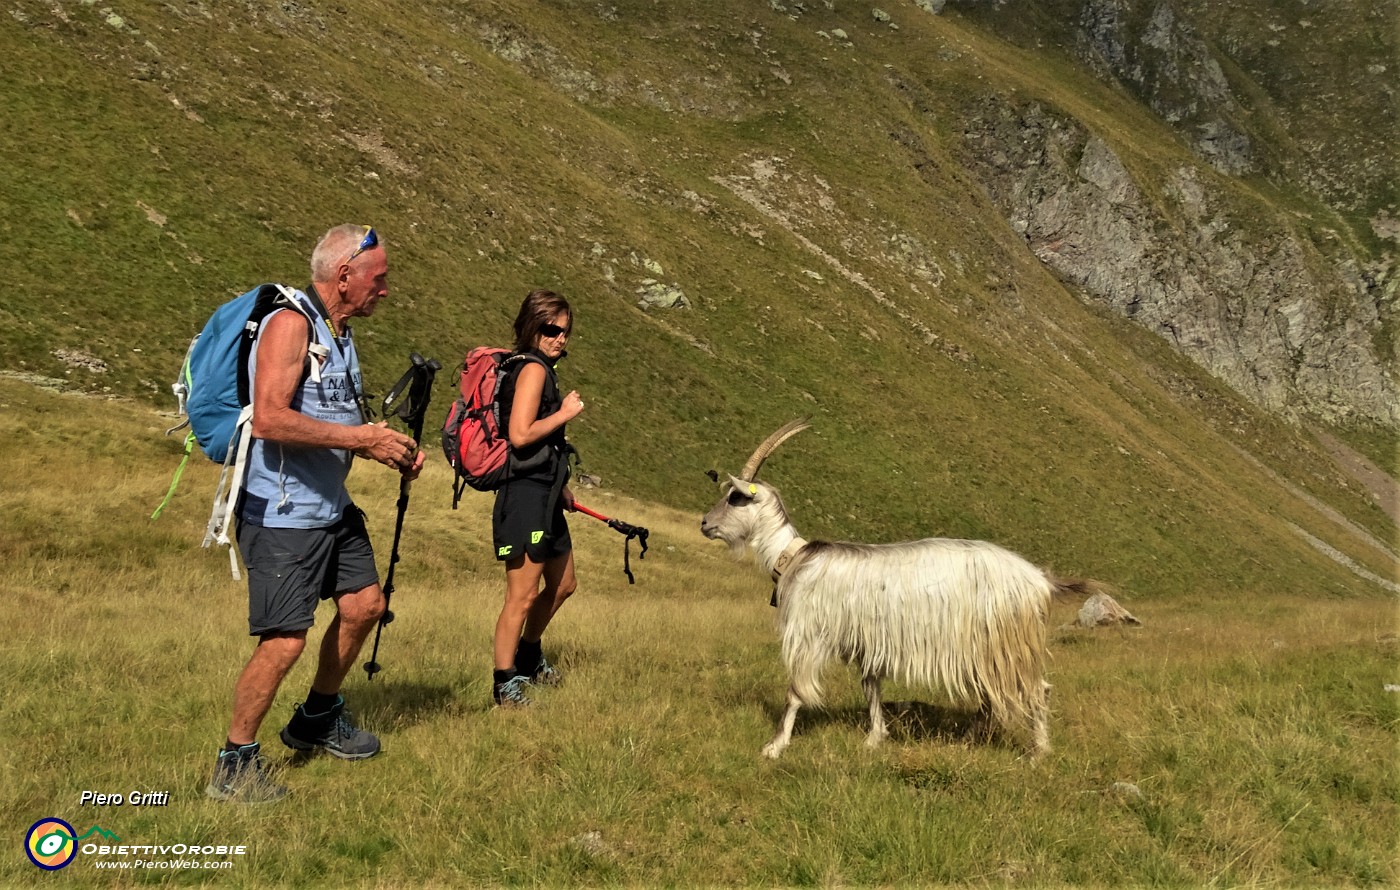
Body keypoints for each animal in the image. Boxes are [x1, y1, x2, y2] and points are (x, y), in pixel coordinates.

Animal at [705, 419, 1086, 761]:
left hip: (1008, 643)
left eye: (736, 497)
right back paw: (969, 740)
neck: (794, 557)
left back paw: (1038, 753)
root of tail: (1040, 580)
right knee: (992, 696)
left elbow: (795, 691)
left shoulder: (810, 634)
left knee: (1038, 691)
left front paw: (774, 746)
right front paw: (875, 738)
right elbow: (871, 686)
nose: (705, 524)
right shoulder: (866, 641)